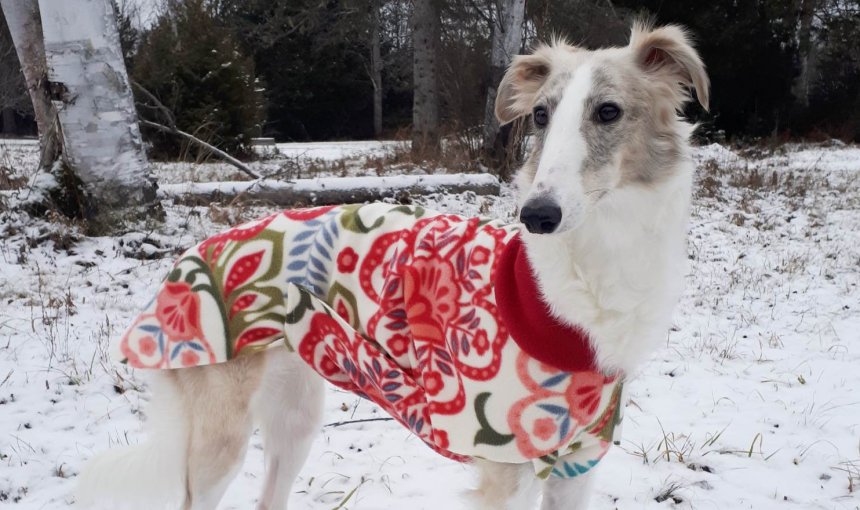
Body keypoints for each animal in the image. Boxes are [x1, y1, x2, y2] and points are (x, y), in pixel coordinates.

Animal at [79, 20, 712, 510]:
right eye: (539, 116)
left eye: (608, 111)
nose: (536, 215)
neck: (584, 283)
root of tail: (188, 258)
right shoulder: (506, 465)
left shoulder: (579, 462)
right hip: (221, 437)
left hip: (296, 415)